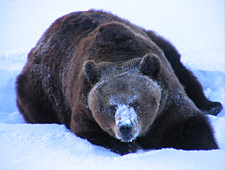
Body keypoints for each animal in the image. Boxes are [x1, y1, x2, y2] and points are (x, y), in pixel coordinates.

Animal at [15, 9, 221, 155]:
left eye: (137, 103)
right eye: (110, 106)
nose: (125, 127)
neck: (118, 55)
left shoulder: (166, 105)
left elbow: (191, 126)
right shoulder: (84, 103)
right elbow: (90, 131)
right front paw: (129, 147)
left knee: (181, 68)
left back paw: (212, 105)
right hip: (41, 88)